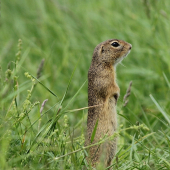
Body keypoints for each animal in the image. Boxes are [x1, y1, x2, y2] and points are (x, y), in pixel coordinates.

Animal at [85, 38, 132, 169]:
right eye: (115, 44)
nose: (130, 46)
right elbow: (112, 88)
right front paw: (117, 95)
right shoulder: (105, 78)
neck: (102, 63)